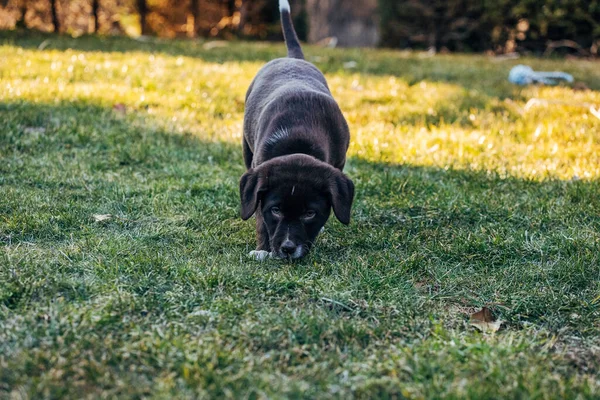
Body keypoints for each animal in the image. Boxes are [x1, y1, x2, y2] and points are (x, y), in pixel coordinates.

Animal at [239, 0, 354, 260]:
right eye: (276, 210)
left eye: (310, 214)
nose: (288, 249)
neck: (297, 139)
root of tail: (293, 59)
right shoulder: (258, 175)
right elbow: (259, 216)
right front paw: (262, 249)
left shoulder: (338, 163)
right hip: (246, 147)